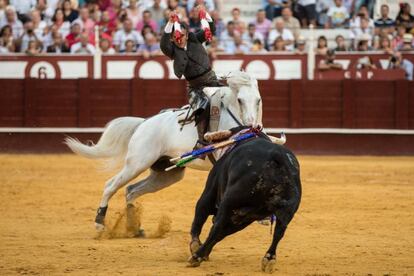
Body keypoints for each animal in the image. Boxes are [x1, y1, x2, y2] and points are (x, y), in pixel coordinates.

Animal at [65, 70, 274, 231]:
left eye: (258, 100)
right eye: (240, 100)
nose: (252, 125)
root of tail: (143, 123)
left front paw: (263, 217)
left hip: (166, 173)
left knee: (131, 191)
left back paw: (135, 228)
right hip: (137, 163)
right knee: (111, 185)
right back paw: (100, 222)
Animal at [188, 136, 300, 272]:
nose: (196, 146)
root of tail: (279, 156)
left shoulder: (209, 194)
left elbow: (199, 220)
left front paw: (196, 248)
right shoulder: (242, 219)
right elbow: (219, 234)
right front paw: (204, 253)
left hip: (229, 200)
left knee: (216, 226)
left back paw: (196, 257)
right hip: (285, 212)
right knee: (279, 232)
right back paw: (269, 258)